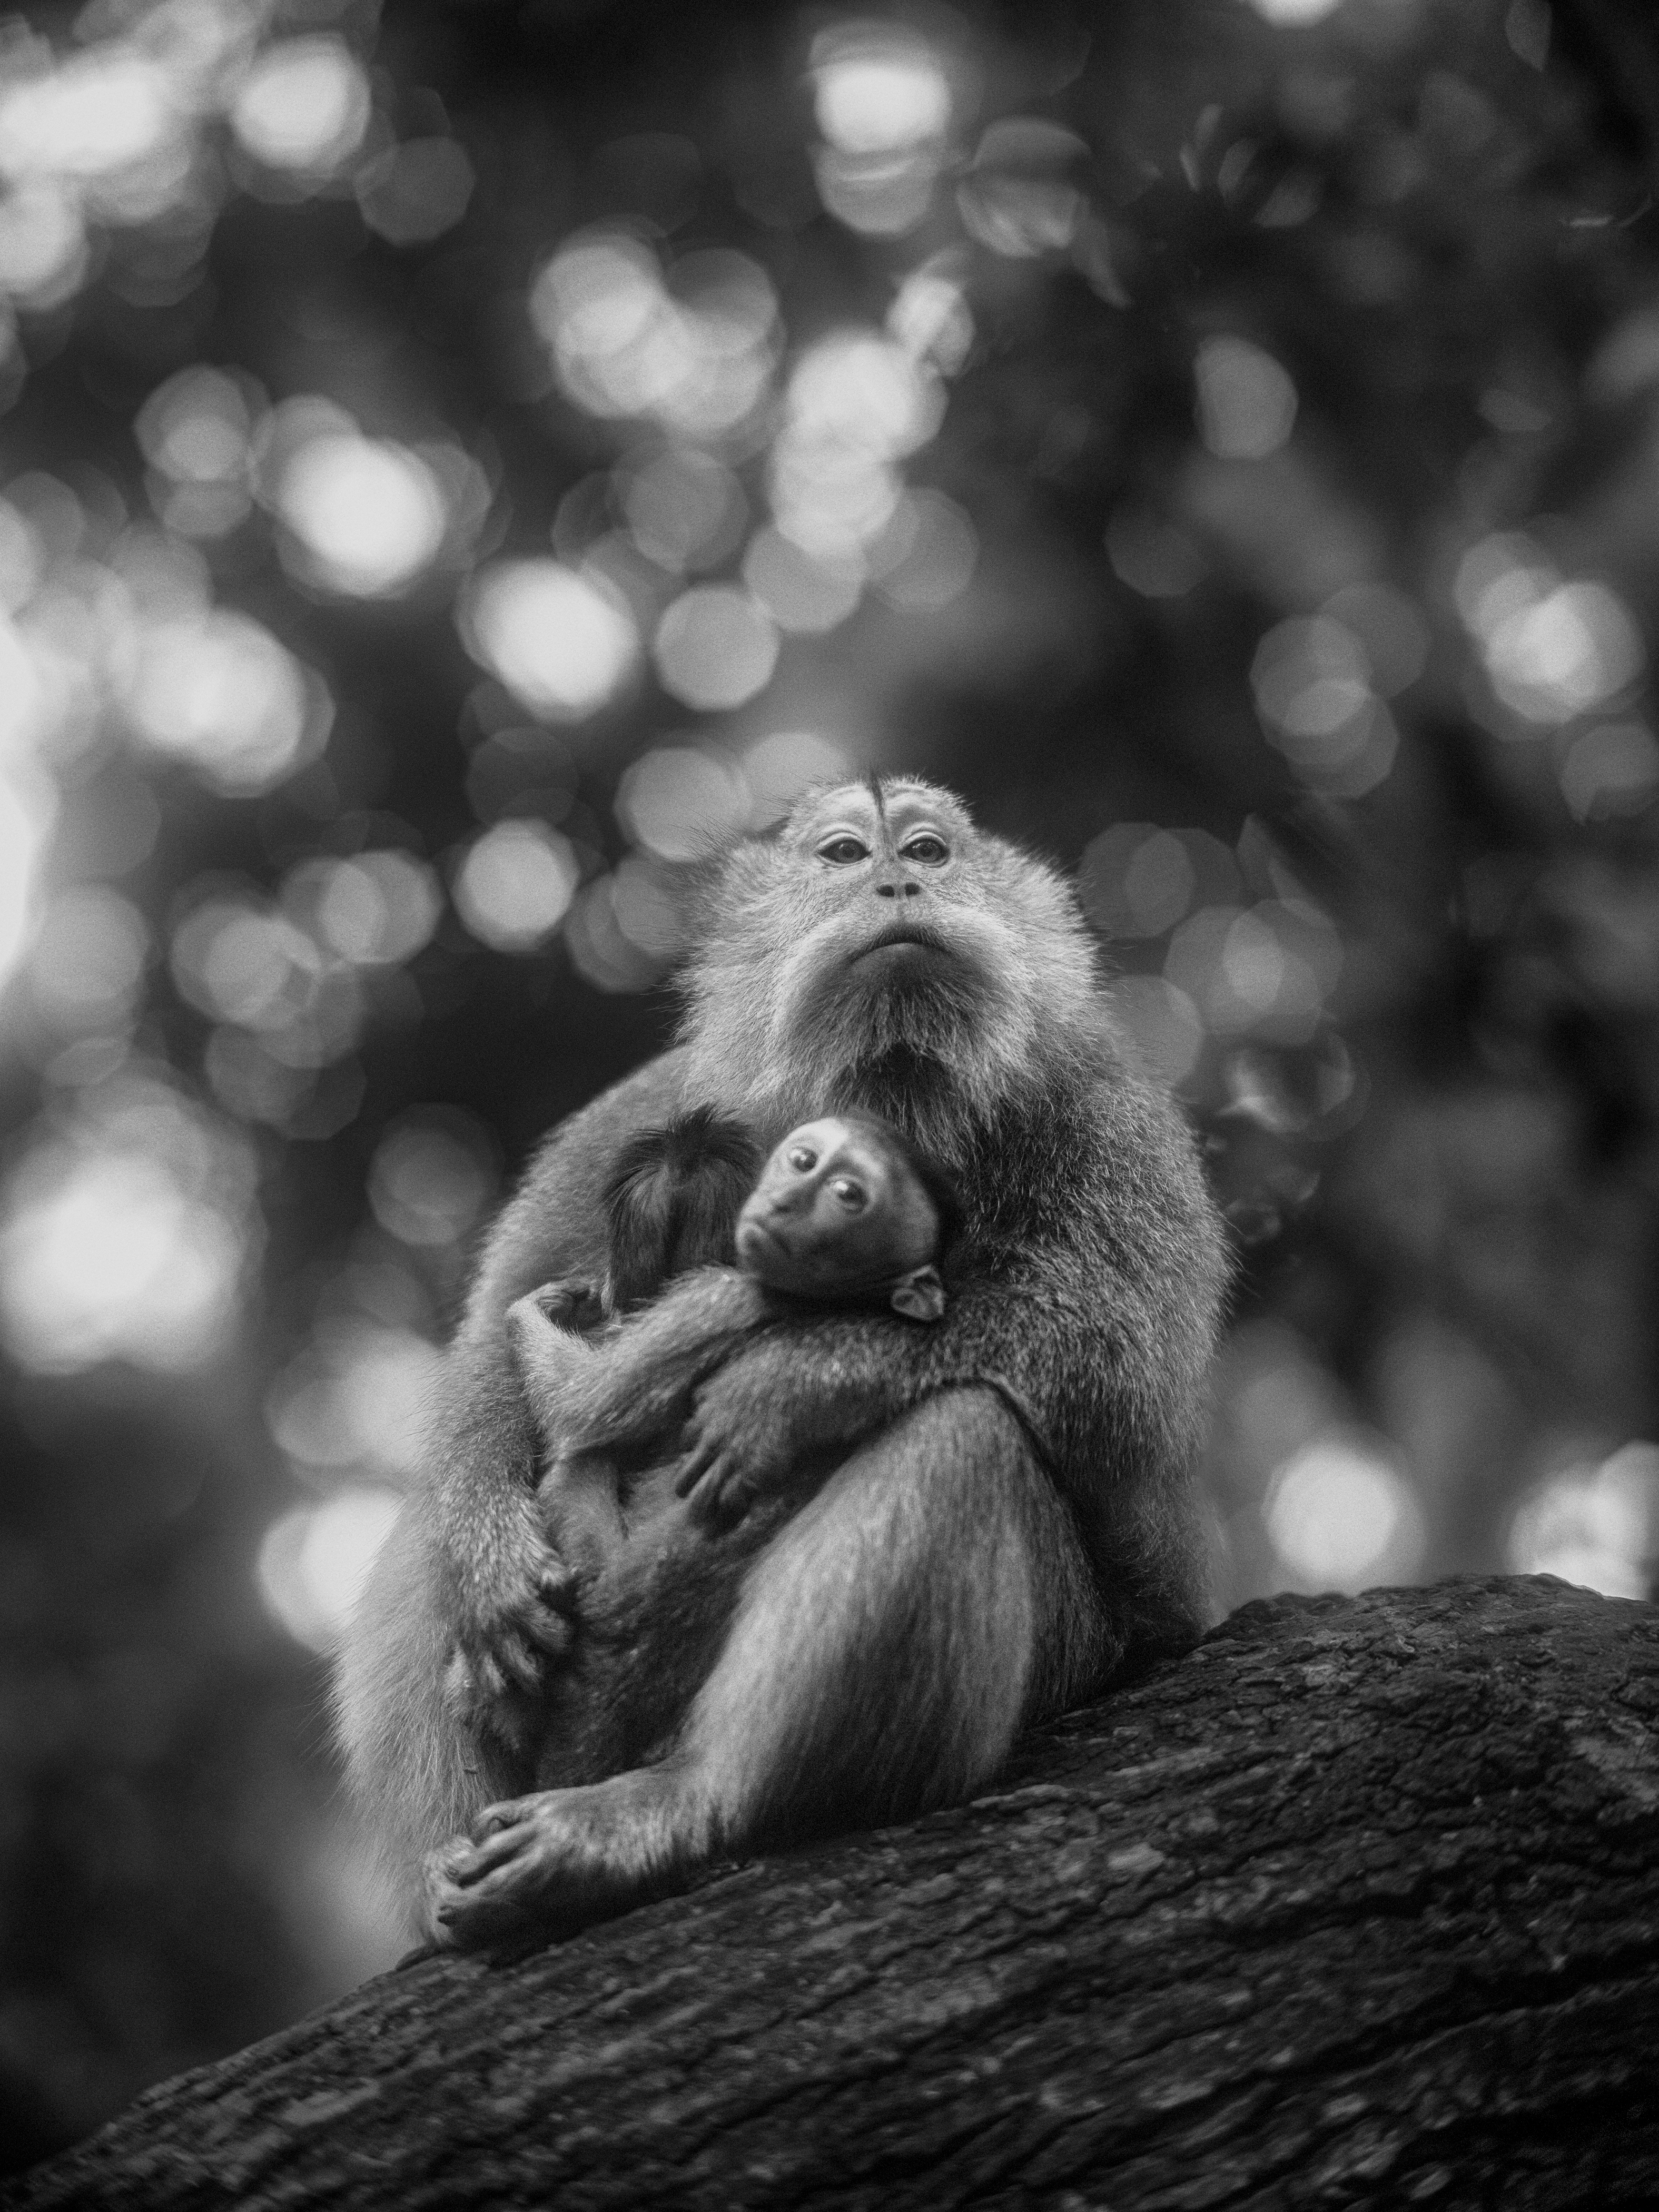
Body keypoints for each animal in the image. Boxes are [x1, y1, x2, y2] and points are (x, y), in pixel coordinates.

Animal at [335, 776, 1229, 1947]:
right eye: (847, 854)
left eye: (929, 852)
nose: (896, 883)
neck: (894, 1083)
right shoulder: (649, 1102)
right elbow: (495, 1336)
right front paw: (491, 1552)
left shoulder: (1102, 1099)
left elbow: (1122, 1367)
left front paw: (801, 1381)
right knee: (424, 1535)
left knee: (965, 1438)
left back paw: (684, 1807)